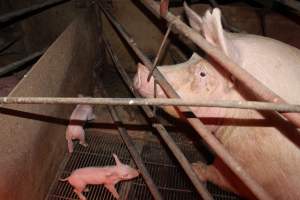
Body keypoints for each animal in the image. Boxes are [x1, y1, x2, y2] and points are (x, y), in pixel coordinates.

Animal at [134, 3, 300, 200]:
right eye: (192, 55)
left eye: (203, 73)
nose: (141, 69)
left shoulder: (247, 164)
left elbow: (221, 172)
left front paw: (195, 168)